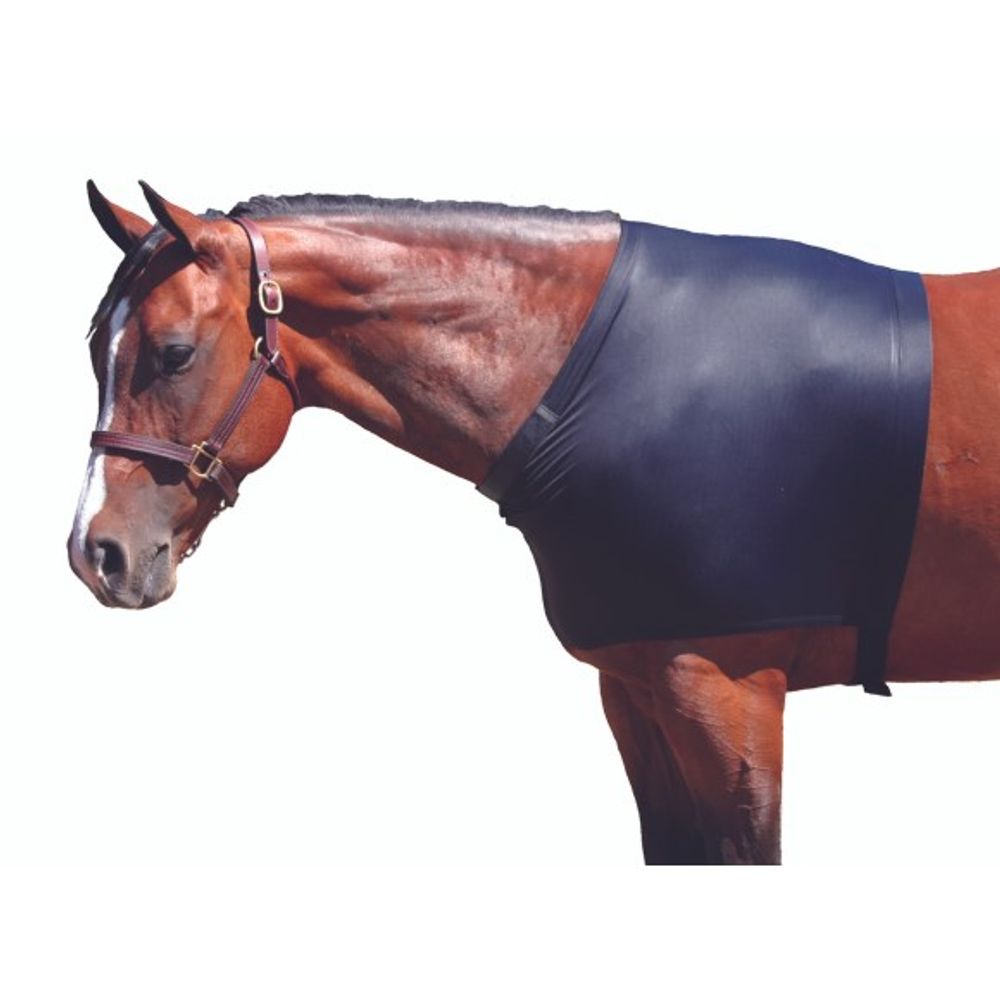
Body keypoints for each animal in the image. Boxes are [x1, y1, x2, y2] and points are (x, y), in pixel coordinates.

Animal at [68, 181, 1000, 864]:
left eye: (174, 353)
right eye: (93, 348)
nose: (96, 551)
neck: (596, 379)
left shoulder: (730, 690)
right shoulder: (636, 687)